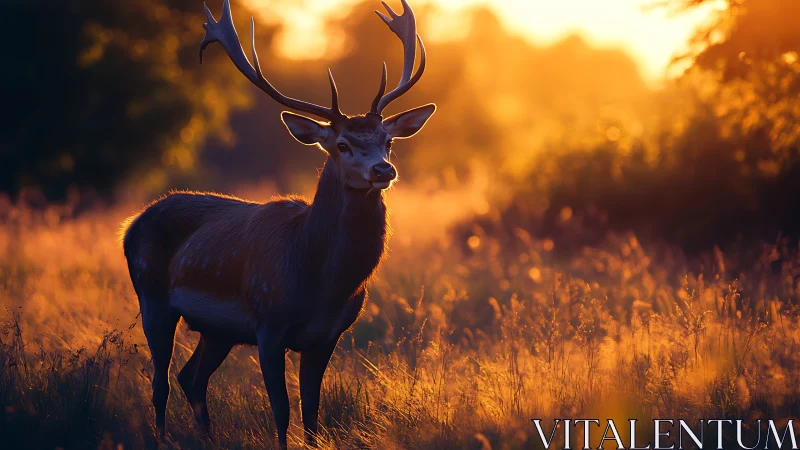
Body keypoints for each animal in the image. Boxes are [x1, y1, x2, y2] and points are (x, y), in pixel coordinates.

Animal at [121, 0, 434, 447]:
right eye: (342, 145)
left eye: (387, 141)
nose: (382, 170)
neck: (320, 279)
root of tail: (131, 224)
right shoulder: (268, 325)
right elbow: (282, 411)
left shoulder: (327, 336)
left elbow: (312, 412)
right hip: (151, 297)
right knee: (160, 383)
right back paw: (163, 436)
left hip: (217, 331)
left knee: (191, 378)